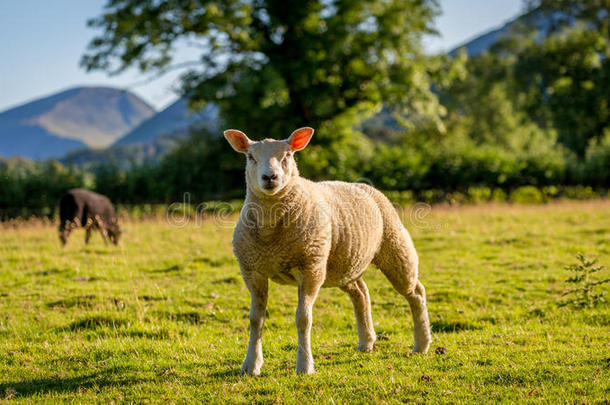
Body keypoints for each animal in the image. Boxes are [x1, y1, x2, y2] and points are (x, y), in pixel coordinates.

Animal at [222, 127, 428, 376]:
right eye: (250, 157)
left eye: (288, 155)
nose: (269, 177)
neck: (272, 236)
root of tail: (362, 185)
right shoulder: (253, 271)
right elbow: (255, 319)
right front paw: (251, 365)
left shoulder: (311, 268)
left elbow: (303, 318)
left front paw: (304, 365)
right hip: (344, 265)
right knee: (361, 293)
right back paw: (366, 342)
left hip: (395, 247)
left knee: (415, 292)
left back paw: (421, 344)